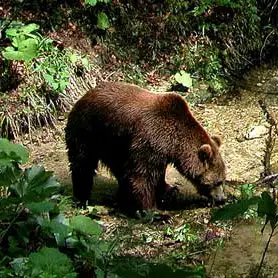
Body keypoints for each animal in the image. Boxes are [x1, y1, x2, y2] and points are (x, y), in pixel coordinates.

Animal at [65, 81, 226, 212]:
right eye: (218, 181)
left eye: (223, 179)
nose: (221, 199)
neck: (175, 143)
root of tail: (84, 96)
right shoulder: (149, 140)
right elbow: (142, 175)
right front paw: (153, 211)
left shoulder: (160, 151)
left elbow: (156, 174)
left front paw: (168, 190)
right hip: (88, 132)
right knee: (82, 164)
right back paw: (82, 198)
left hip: (115, 144)